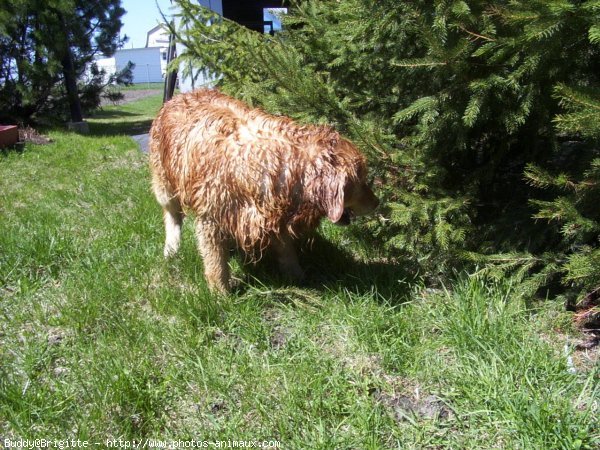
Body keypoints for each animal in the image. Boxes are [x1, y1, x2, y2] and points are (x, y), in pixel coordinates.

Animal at [148, 89, 378, 292]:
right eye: (361, 181)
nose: (378, 203)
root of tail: (177, 97)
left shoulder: (274, 213)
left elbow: (287, 251)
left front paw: (297, 276)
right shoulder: (210, 219)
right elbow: (216, 263)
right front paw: (220, 294)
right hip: (164, 185)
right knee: (172, 214)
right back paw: (171, 248)